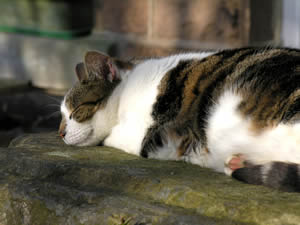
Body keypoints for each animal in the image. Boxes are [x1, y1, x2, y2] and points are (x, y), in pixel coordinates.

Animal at [59, 47, 300, 192]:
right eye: (61, 117)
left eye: (75, 111)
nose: (60, 133)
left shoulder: (148, 137)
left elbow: (113, 137)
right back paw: (238, 163)